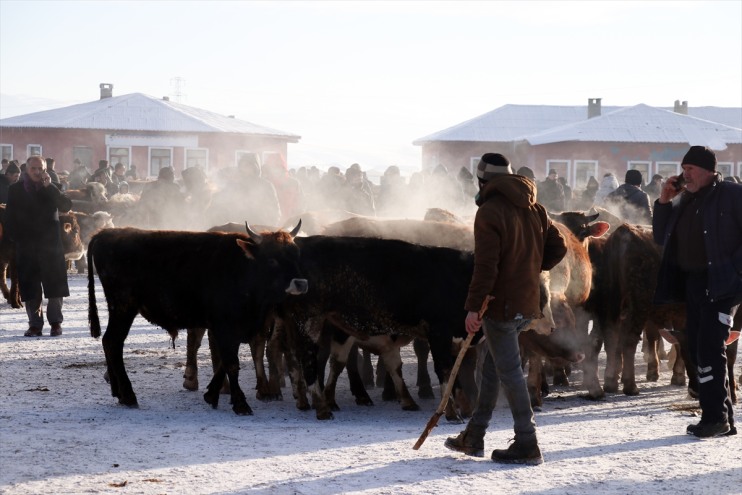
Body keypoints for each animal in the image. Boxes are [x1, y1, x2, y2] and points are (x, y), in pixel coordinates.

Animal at [88, 224, 308, 414]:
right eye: (272, 259)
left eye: (296, 254)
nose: (301, 283)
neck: (242, 267)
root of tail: (105, 233)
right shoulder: (225, 326)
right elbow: (231, 363)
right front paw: (240, 404)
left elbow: (224, 362)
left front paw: (211, 394)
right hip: (123, 307)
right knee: (113, 342)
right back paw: (128, 395)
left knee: (108, 342)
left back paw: (118, 393)